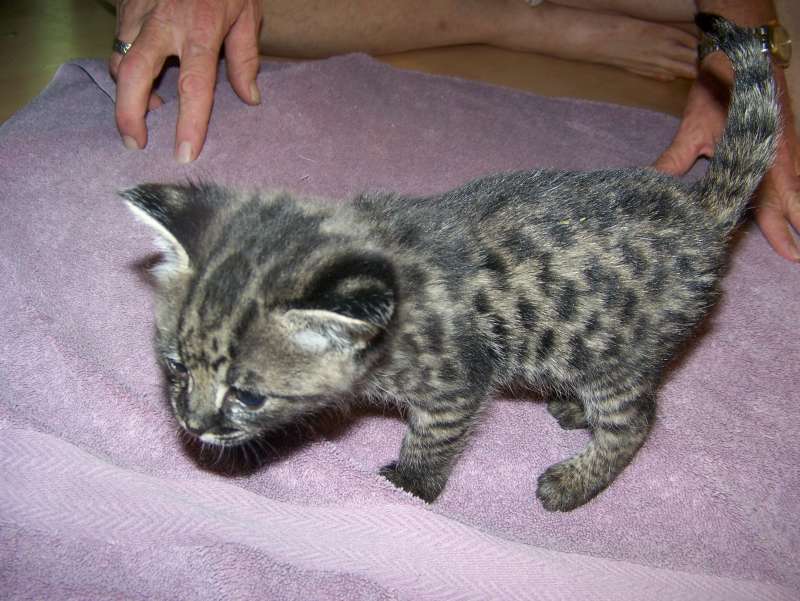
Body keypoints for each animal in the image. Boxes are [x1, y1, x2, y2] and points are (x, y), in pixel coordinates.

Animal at [123, 14, 778, 511]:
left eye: (249, 395)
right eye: (175, 366)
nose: (193, 425)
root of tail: (700, 213)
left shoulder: (459, 381)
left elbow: (434, 440)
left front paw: (410, 487)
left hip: (610, 349)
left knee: (635, 419)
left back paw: (573, 482)